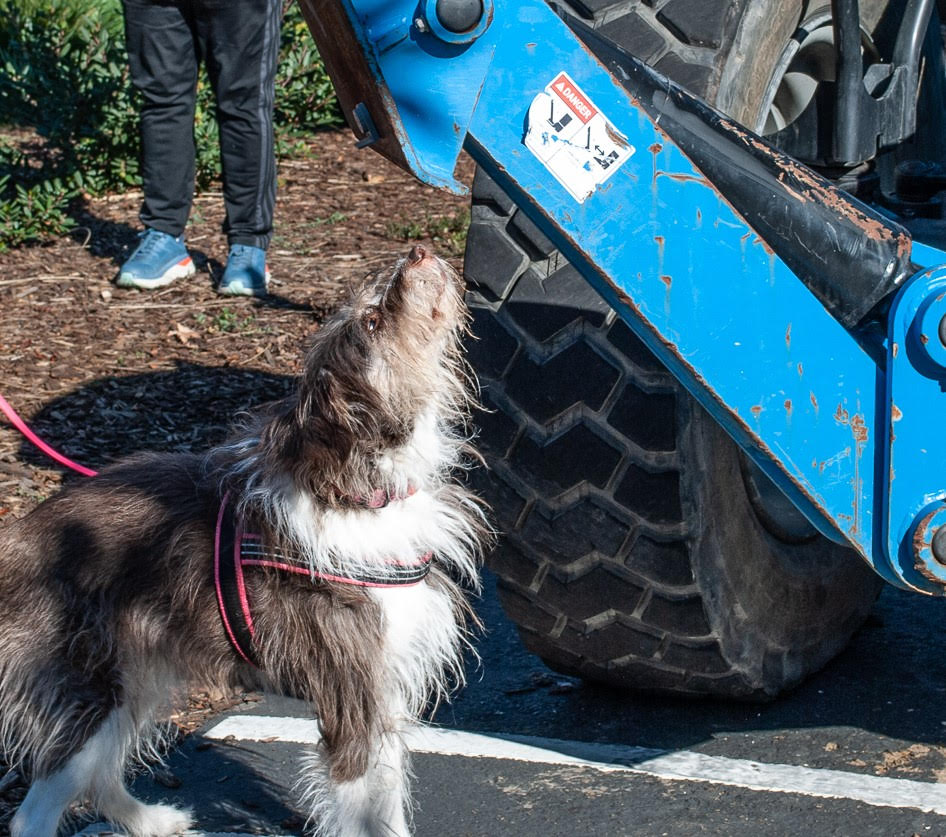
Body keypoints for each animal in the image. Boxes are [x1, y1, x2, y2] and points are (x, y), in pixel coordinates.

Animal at [0, 245, 490, 832]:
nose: (416, 251)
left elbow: (388, 804)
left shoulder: (385, 692)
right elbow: (360, 808)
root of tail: (18, 536)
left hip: (134, 678)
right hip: (88, 687)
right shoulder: (352, 699)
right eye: (373, 321)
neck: (363, 493)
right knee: (35, 811)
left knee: (97, 776)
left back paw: (152, 821)